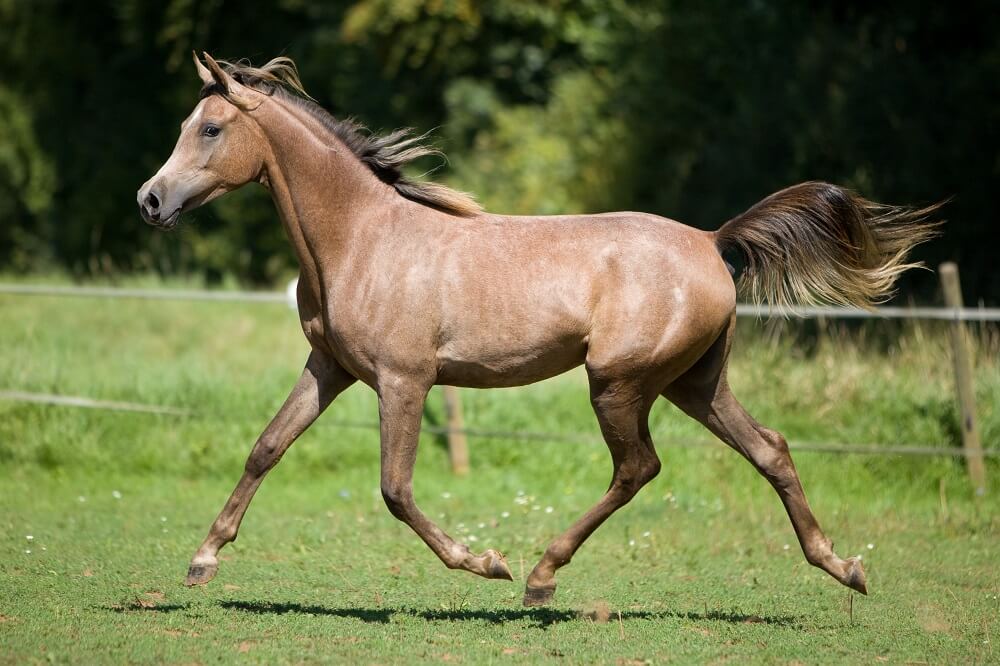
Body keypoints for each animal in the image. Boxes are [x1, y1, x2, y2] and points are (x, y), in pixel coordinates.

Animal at [139, 54, 936, 604]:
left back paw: (539, 575)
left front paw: (482, 562)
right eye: (184, 127)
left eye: (211, 128)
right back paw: (844, 567)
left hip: (619, 381)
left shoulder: (405, 379)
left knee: (638, 468)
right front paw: (203, 560)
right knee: (768, 448)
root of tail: (712, 242)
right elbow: (266, 448)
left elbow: (395, 488)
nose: (150, 200)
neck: (361, 239)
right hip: (693, 383)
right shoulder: (330, 368)